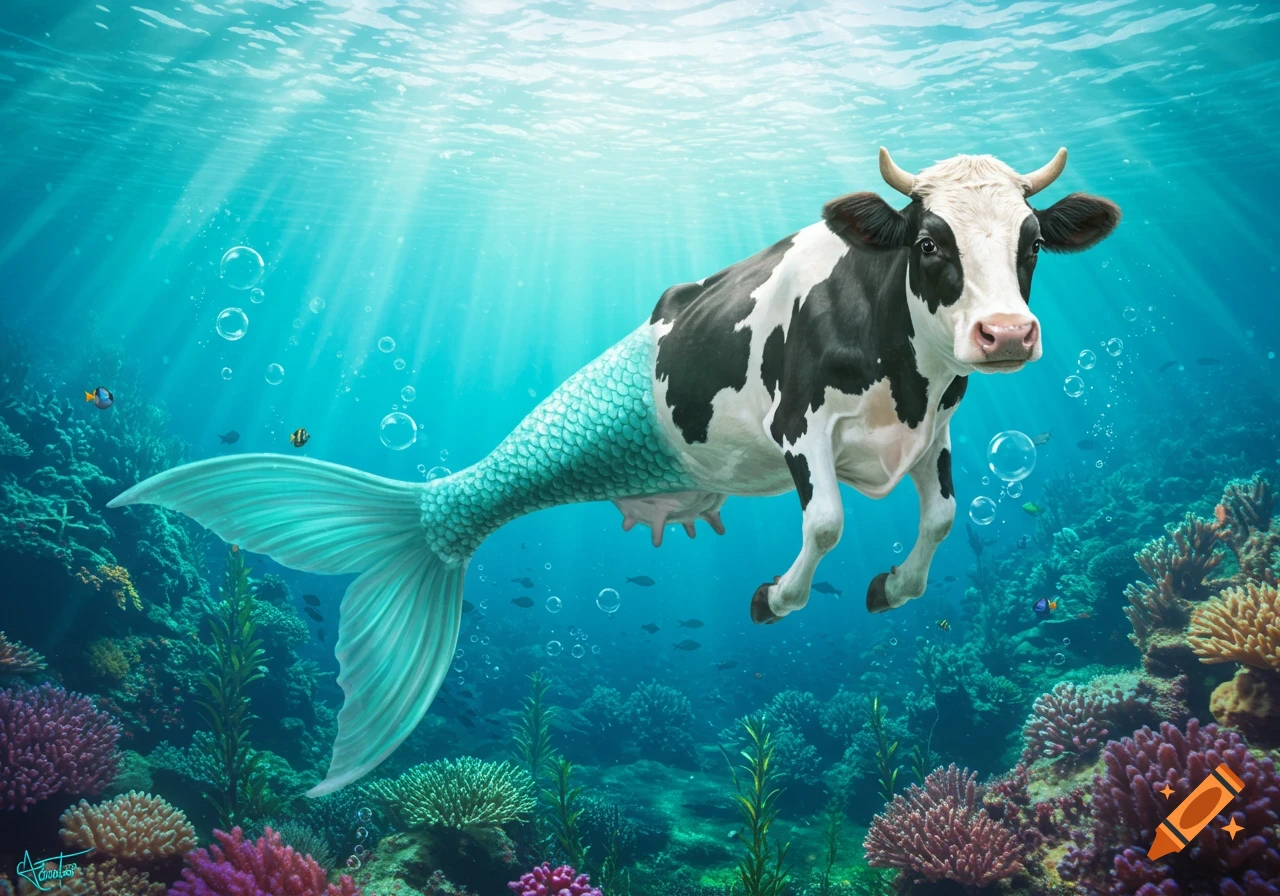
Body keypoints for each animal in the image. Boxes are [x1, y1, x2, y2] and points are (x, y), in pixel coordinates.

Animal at [108, 147, 1120, 795]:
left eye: (1031, 242)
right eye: (929, 241)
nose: (1007, 335)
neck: (904, 367)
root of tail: (435, 512)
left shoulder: (937, 428)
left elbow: (943, 518)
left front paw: (891, 587)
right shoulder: (801, 424)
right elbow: (828, 519)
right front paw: (776, 598)